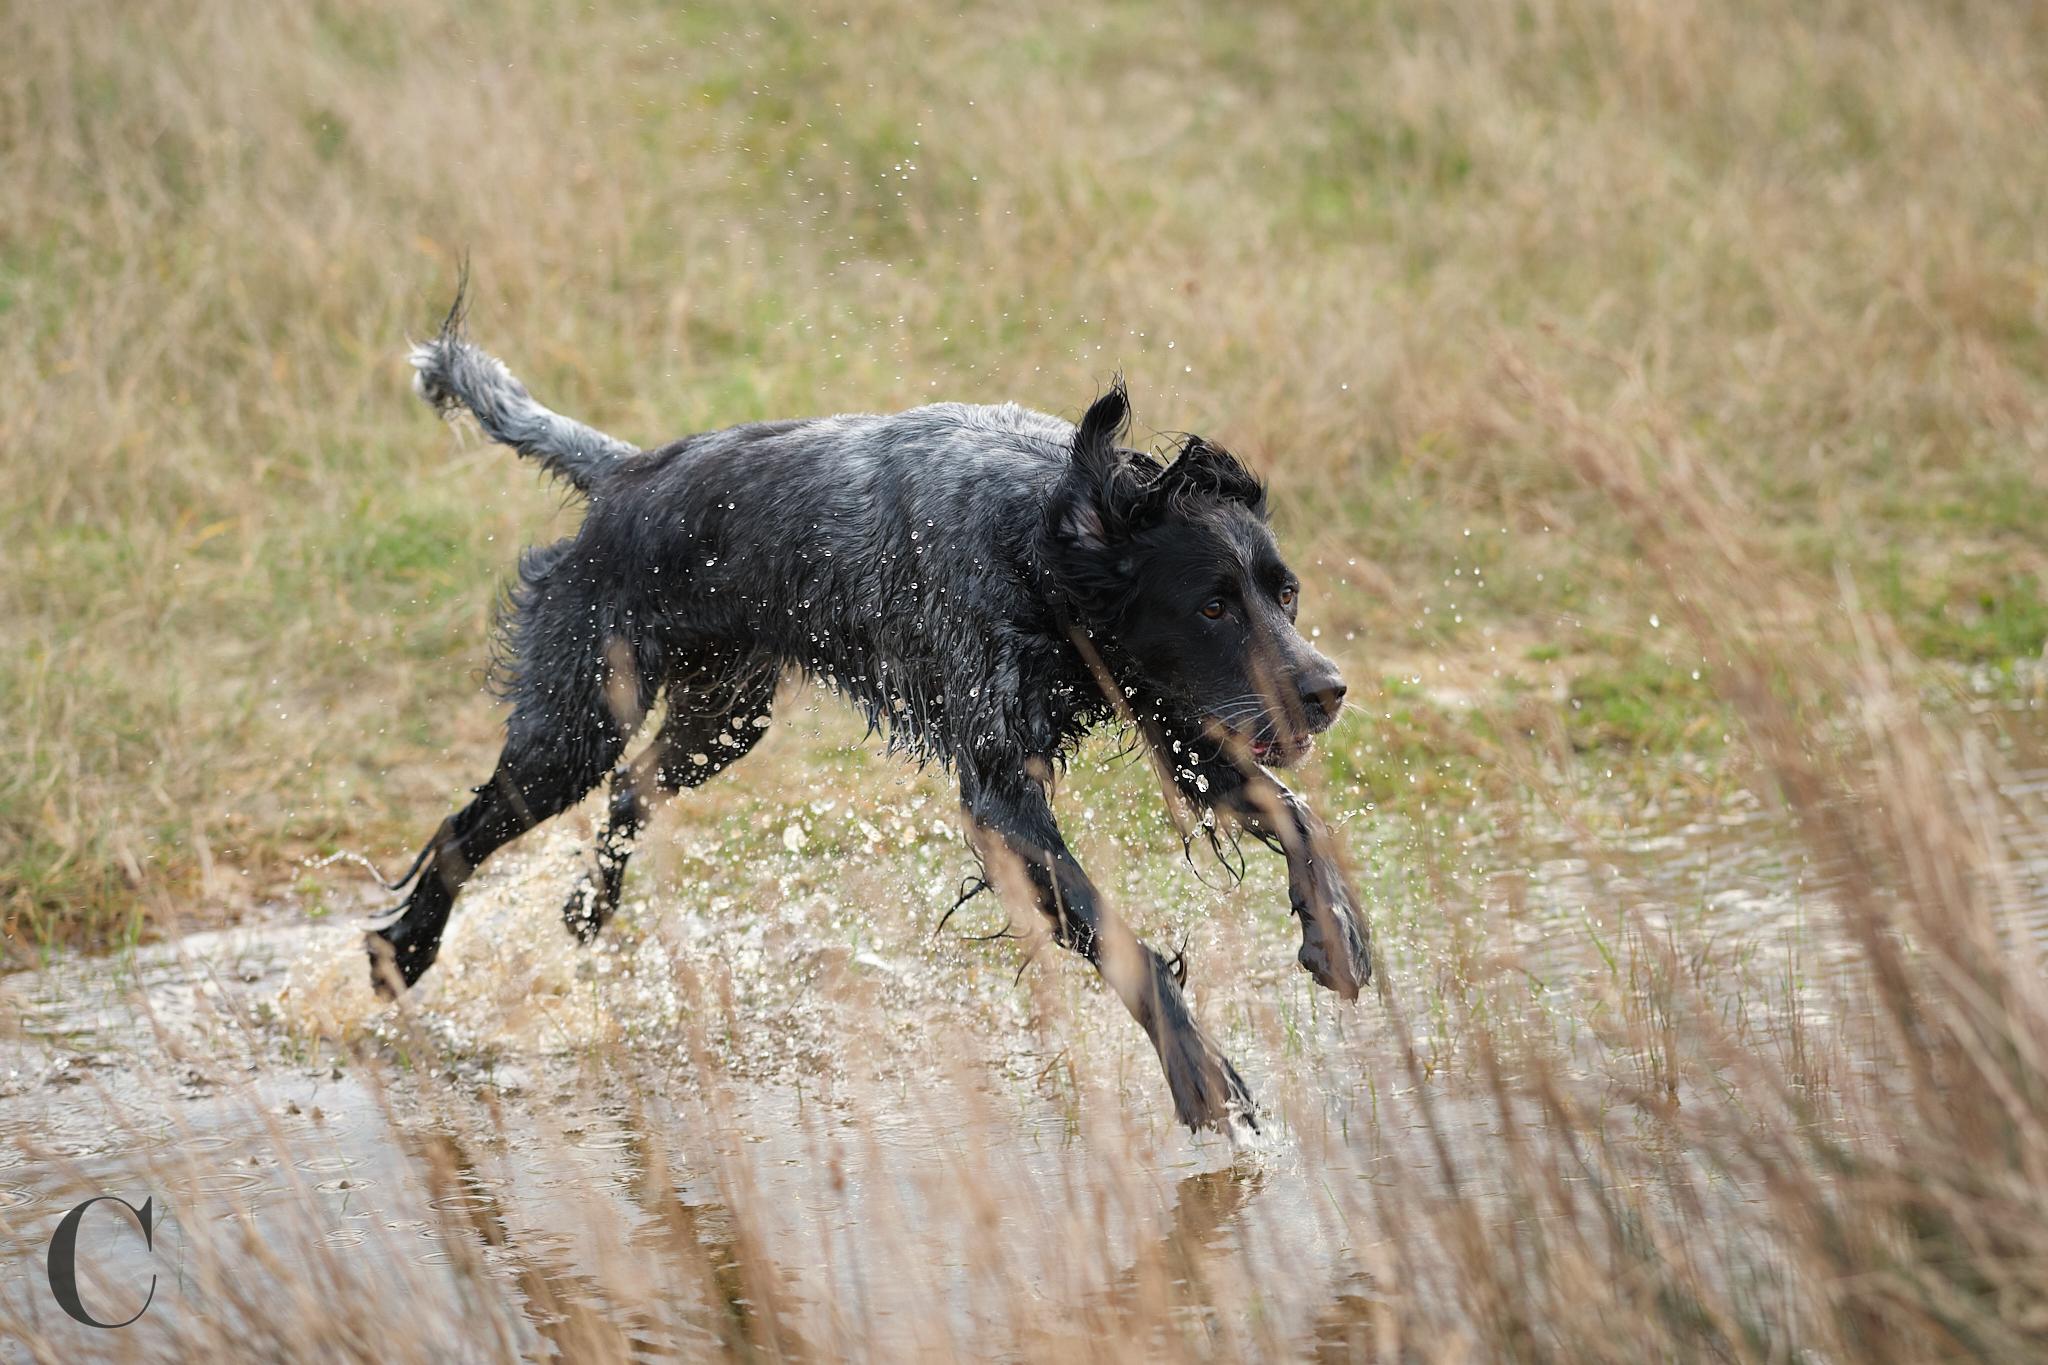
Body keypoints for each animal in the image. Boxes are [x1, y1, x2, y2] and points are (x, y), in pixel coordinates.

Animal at [374, 286, 1376, 1129]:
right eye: (1211, 606)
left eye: (1284, 593)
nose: (1327, 690)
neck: (1041, 538)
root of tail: (622, 475)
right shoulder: (1002, 798)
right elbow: (1125, 941)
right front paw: (1200, 1072)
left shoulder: (1178, 720)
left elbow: (1295, 814)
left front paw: (1335, 935)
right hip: (575, 727)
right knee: (464, 832)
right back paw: (403, 954)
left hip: (721, 721)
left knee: (628, 790)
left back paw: (586, 909)